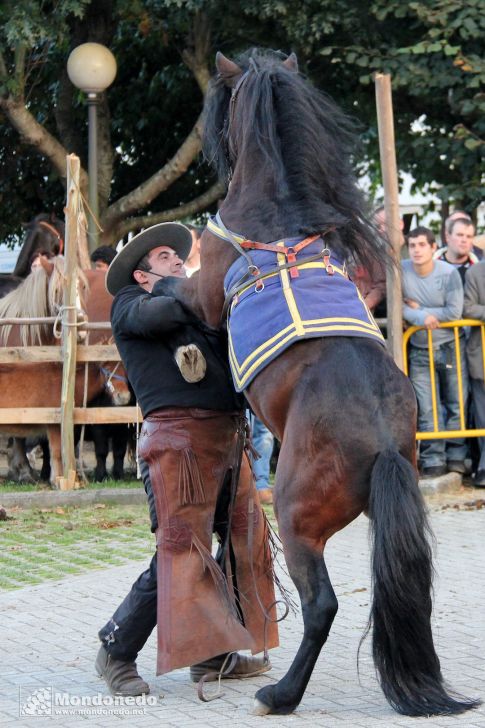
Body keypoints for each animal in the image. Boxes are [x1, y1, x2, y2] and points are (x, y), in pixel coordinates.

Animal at [154, 49, 476, 716]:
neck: (275, 216)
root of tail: (380, 442)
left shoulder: (202, 297)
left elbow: (174, 290)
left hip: (298, 520)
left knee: (321, 605)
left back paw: (279, 694)